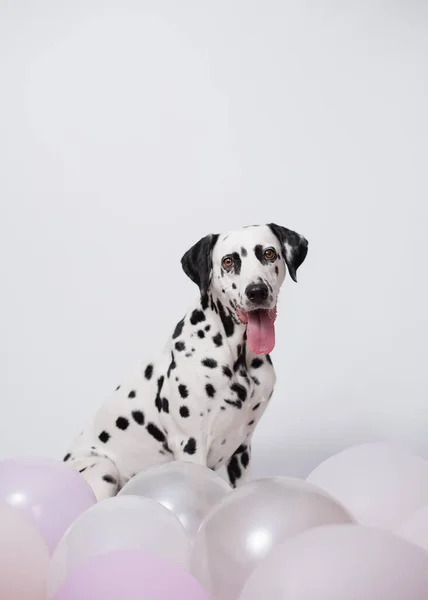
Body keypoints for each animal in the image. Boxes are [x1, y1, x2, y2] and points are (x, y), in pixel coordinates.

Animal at [64, 223, 308, 500]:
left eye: (269, 253)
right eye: (228, 261)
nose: (257, 291)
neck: (237, 358)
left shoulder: (242, 449)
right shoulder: (191, 444)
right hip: (103, 469)